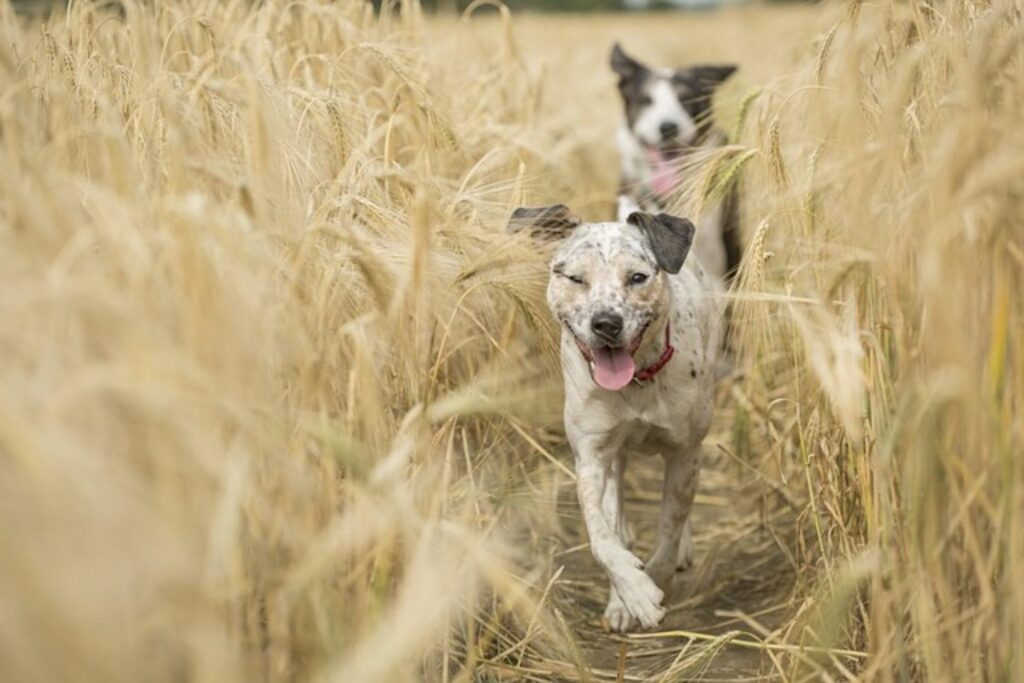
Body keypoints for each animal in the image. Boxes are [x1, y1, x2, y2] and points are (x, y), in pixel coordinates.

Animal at [509, 205, 720, 634]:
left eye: (637, 277)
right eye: (575, 278)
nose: (606, 323)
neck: (637, 381)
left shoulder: (685, 452)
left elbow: (669, 529)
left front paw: (653, 582)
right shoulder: (592, 457)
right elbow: (600, 536)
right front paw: (631, 594)